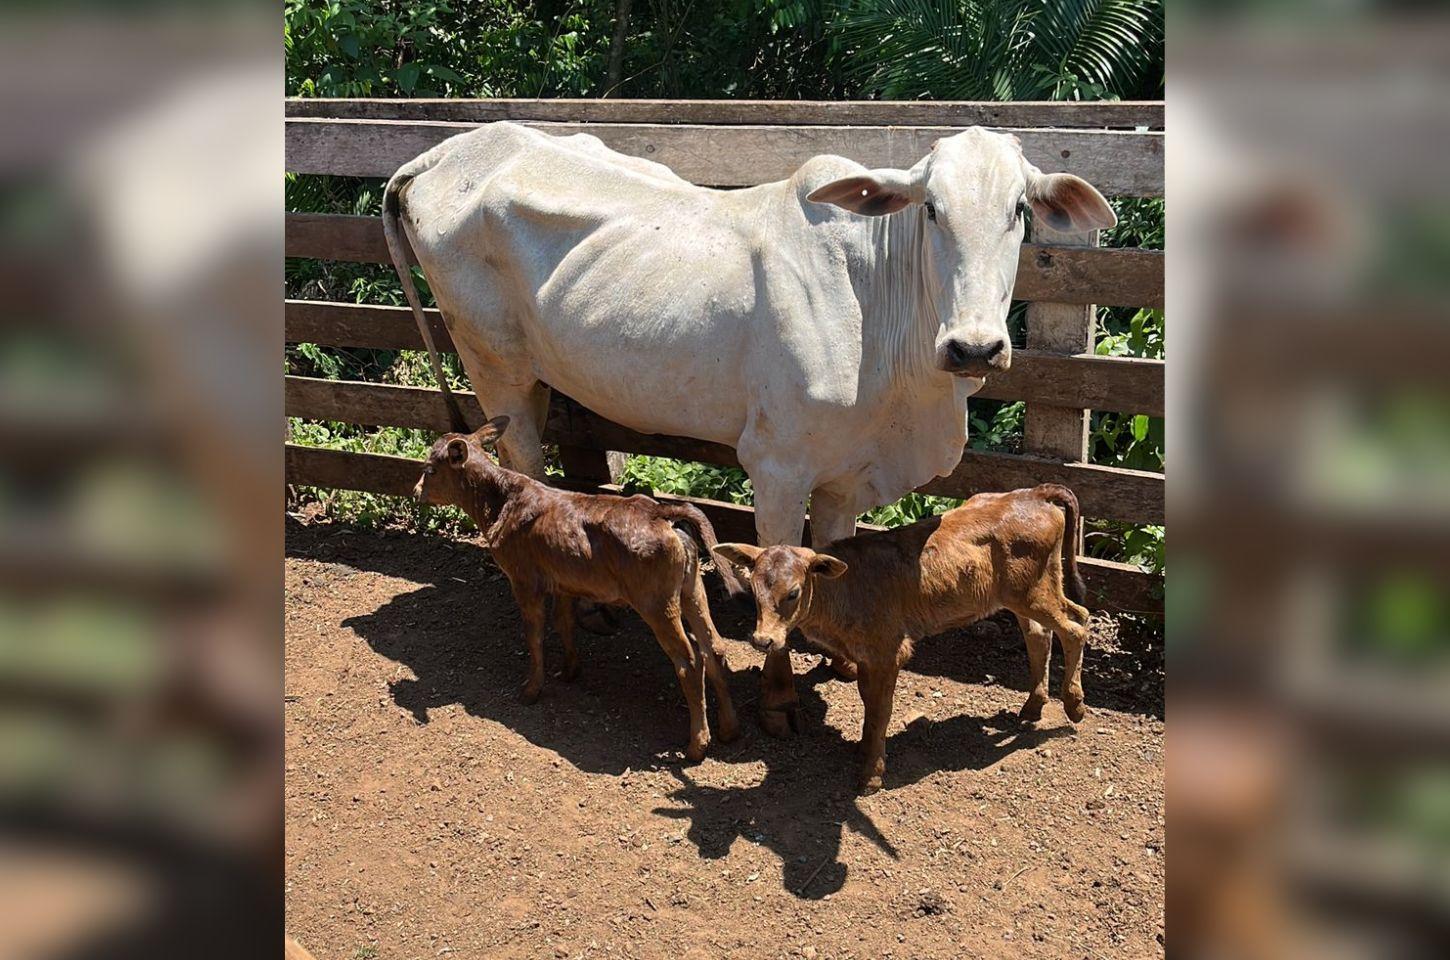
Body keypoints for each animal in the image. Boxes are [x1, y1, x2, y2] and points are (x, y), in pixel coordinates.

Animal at [412, 416, 744, 761]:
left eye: (430, 470)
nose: (415, 491)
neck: (501, 503)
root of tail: (659, 512)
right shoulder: (564, 581)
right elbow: (564, 623)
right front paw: (570, 670)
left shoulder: (524, 578)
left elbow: (534, 633)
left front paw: (531, 689)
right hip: (691, 587)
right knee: (714, 647)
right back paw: (729, 729)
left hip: (656, 600)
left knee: (689, 661)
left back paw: (697, 745)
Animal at [713, 484, 1091, 792]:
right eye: (753, 589)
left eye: (793, 593)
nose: (762, 640)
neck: (844, 589)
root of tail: (1035, 494)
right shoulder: (866, 655)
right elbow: (869, 703)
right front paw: (863, 751)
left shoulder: (888, 650)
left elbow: (880, 709)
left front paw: (871, 774)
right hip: (1026, 590)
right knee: (1044, 633)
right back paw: (1033, 706)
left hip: (1031, 593)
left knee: (1075, 626)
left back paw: (1073, 706)